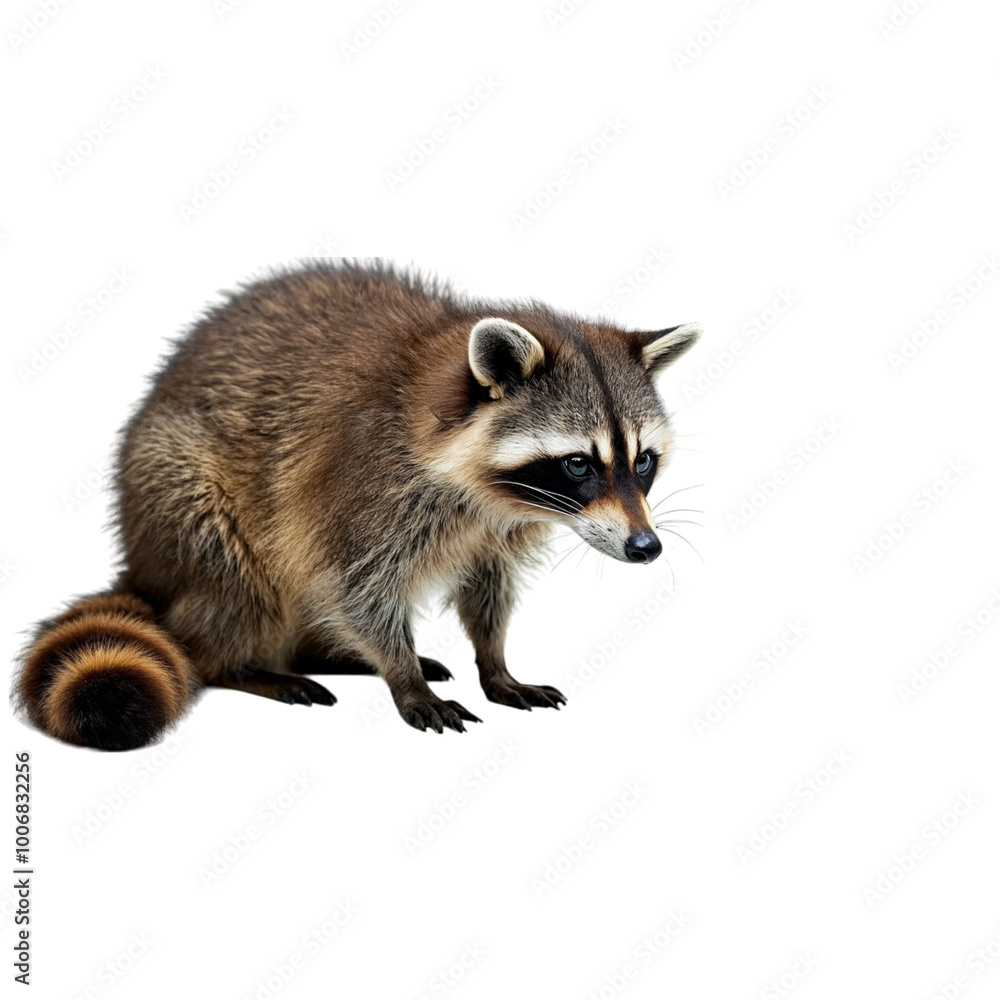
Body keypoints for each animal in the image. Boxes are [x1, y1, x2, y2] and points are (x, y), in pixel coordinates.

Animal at [15, 261, 700, 750]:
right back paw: (243, 664)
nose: (647, 547)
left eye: (643, 460)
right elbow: (357, 587)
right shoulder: (360, 486)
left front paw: (494, 662)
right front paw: (401, 674)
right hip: (179, 494)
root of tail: (145, 568)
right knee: (235, 582)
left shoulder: (499, 529)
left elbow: (488, 588)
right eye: (579, 464)